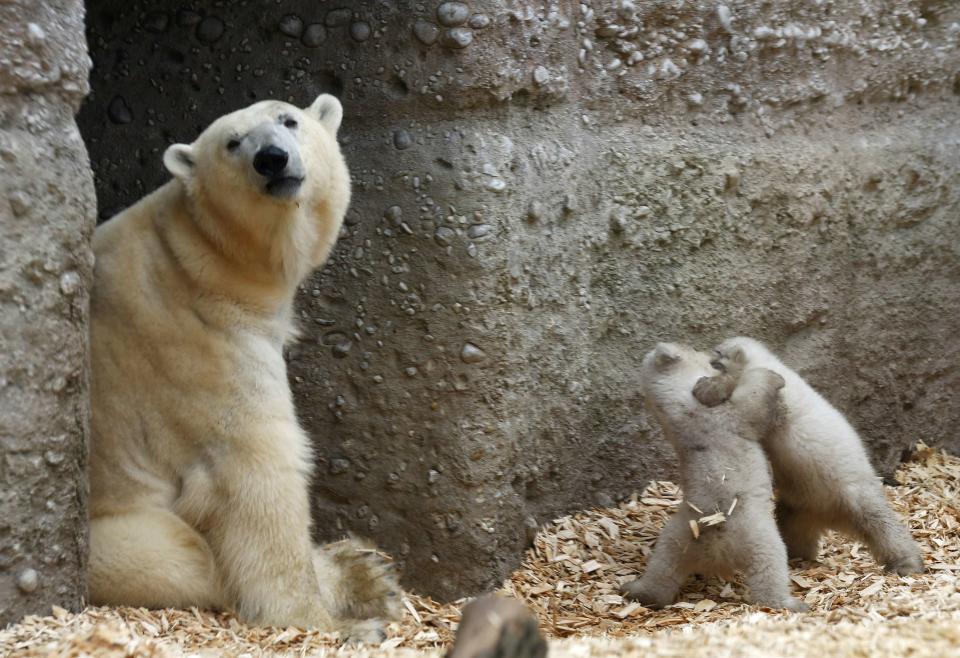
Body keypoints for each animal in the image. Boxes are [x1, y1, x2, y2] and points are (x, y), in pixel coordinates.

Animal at [88, 95, 400, 640]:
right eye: (232, 142)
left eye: (288, 120)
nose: (272, 159)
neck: (200, 260)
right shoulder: (197, 343)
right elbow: (255, 470)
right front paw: (336, 628)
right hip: (113, 532)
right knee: (183, 557)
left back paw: (364, 570)